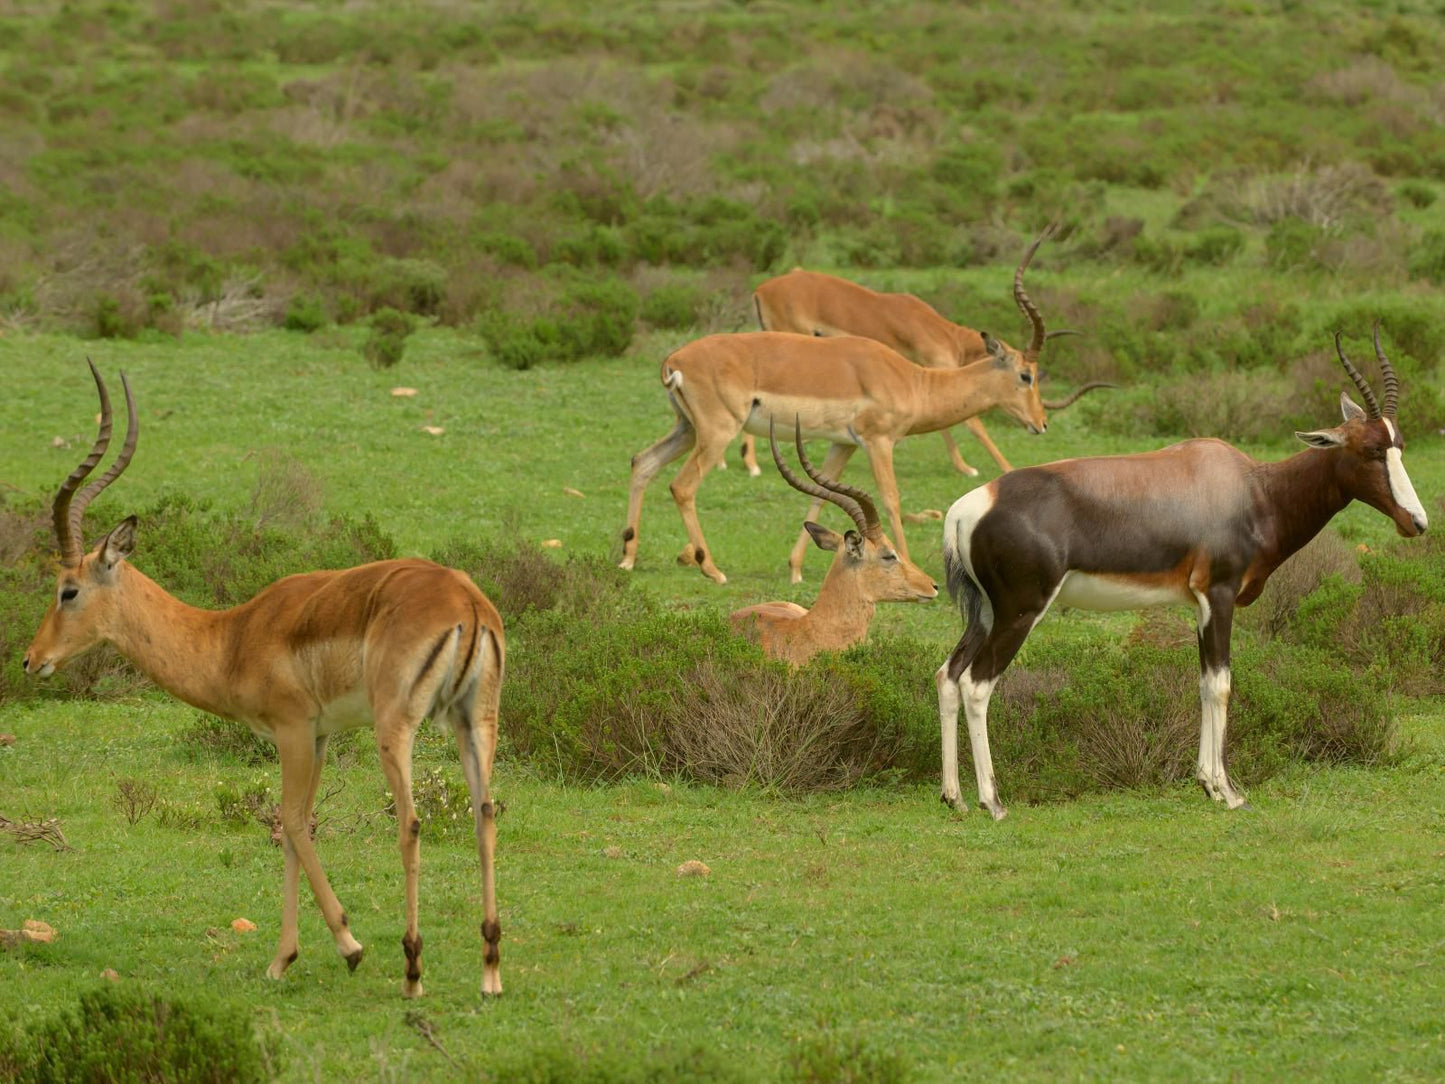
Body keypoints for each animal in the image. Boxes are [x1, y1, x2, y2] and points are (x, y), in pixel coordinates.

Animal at [22, 361, 508, 1000]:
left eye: (68, 590)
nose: (32, 660)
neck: (231, 638)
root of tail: (466, 603)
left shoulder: (293, 730)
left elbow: (292, 822)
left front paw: (347, 946)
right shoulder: (319, 736)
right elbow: (298, 827)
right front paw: (284, 958)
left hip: (396, 727)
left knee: (410, 822)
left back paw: (412, 972)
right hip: (474, 721)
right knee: (485, 814)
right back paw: (490, 971)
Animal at [745, 229, 1103, 479]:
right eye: (1026, 376)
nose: (1041, 424)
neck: (942, 332)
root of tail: (761, 288)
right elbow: (973, 423)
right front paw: (990, 468)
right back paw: (751, 464)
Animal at [936, 330, 1421, 820]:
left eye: (1399, 444)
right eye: (1371, 449)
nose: (1416, 522)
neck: (1252, 489)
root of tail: (965, 509)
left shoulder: (1200, 605)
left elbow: (1204, 683)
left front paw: (1207, 784)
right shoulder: (1219, 596)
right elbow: (1221, 684)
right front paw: (1228, 791)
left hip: (985, 614)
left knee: (948, 675)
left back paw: (954, 796)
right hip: (1020, 612)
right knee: (977, 684)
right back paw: (993, 802)